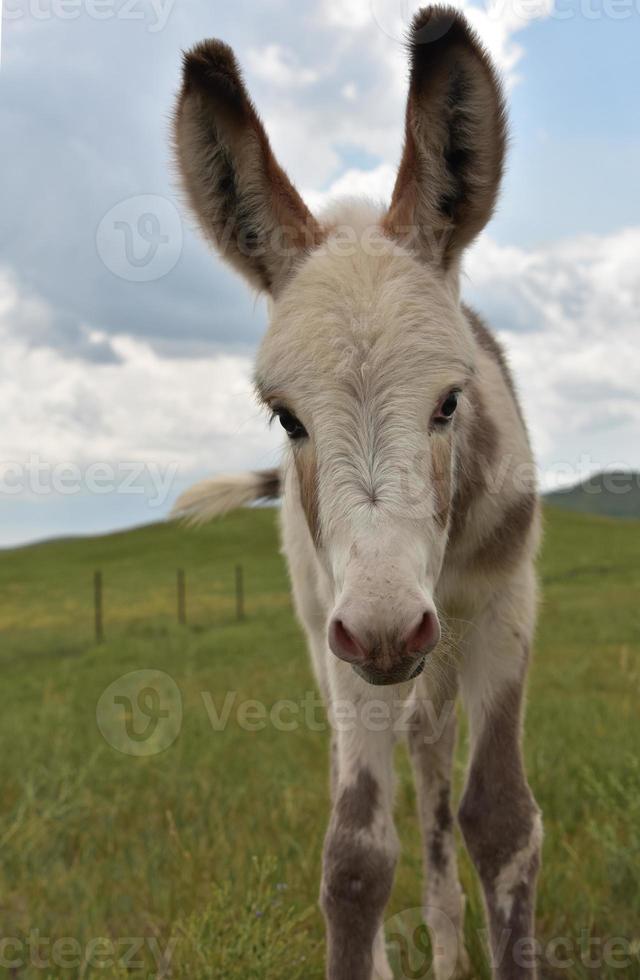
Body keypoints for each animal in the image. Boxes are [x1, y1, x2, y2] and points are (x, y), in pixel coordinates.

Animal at [174, 9, 540, 980]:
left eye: (449, 401)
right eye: (286, 418)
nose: (384, 628)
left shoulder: (502, 605)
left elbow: (500, 823)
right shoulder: (349, 633)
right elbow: (355, 859)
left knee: (434, 755)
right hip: (333, 632)